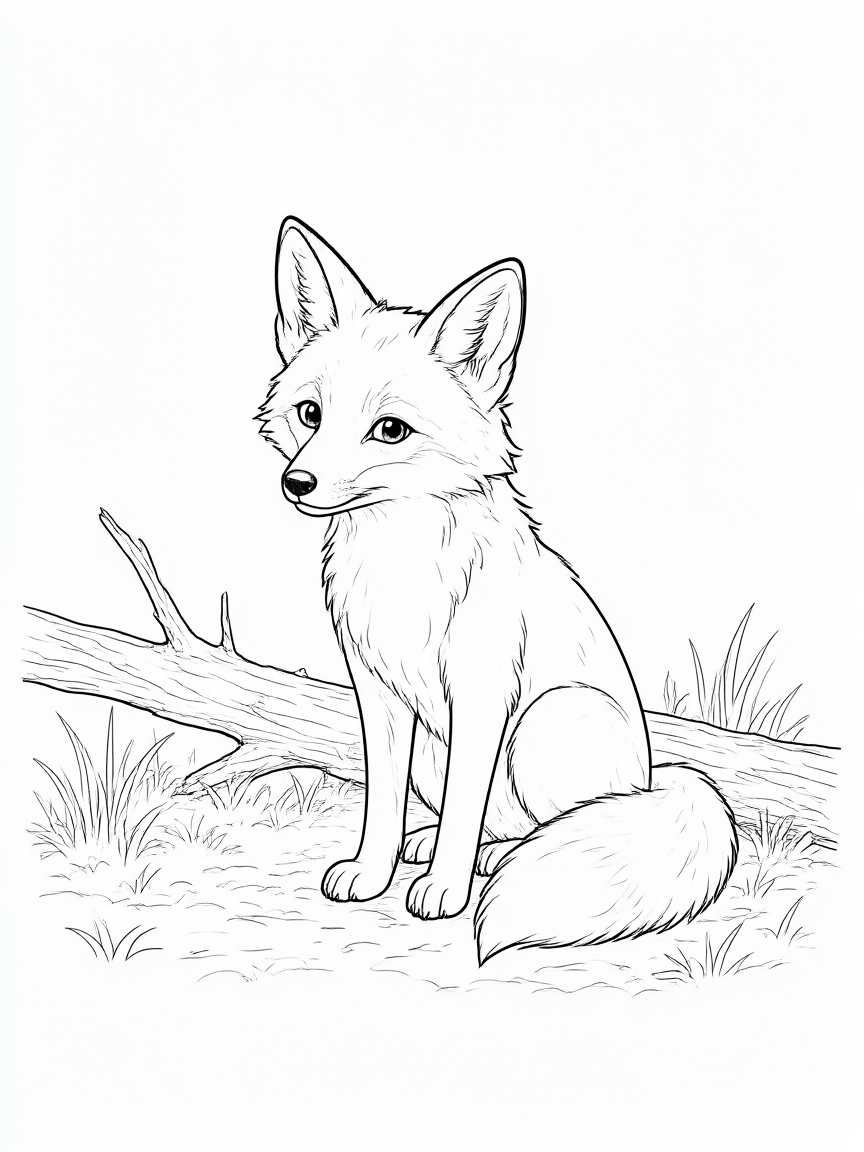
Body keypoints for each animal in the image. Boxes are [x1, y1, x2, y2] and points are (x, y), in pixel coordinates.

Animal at [257, 216, 738, 964]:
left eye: (389, 430)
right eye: (311, 414)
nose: (297, 484)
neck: (401, 570)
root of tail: (654, 777)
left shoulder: (481, 696)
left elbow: (464, 807)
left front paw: (444, 890)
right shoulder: (380, 697)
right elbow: (382, 807)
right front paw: (373, 872)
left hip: (548, 722)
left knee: (546, 828)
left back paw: (487, 861)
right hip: (439, 746)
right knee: (491, 821)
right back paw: (441, 849)